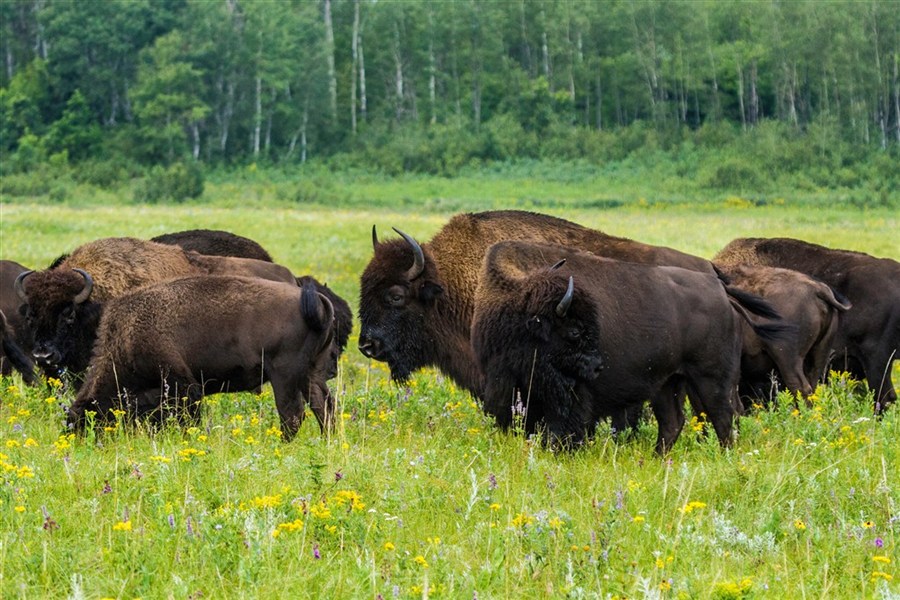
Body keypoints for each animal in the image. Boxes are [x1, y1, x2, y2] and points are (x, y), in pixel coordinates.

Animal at [68, 277, 336, 440]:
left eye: (87, 420)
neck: (128, 334)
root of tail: (317, 301)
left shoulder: (184, 385)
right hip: (311, 372)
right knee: (323, 406)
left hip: (284, 374)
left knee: (293, 414)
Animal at [471, 242, 794, 452]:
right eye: (574, 331)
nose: (598, 367)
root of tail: (721, 290)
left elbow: (567, 430)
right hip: (668, 383)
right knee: (673, 422)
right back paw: (658, 459)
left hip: (713, 379)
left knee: (725, 417)